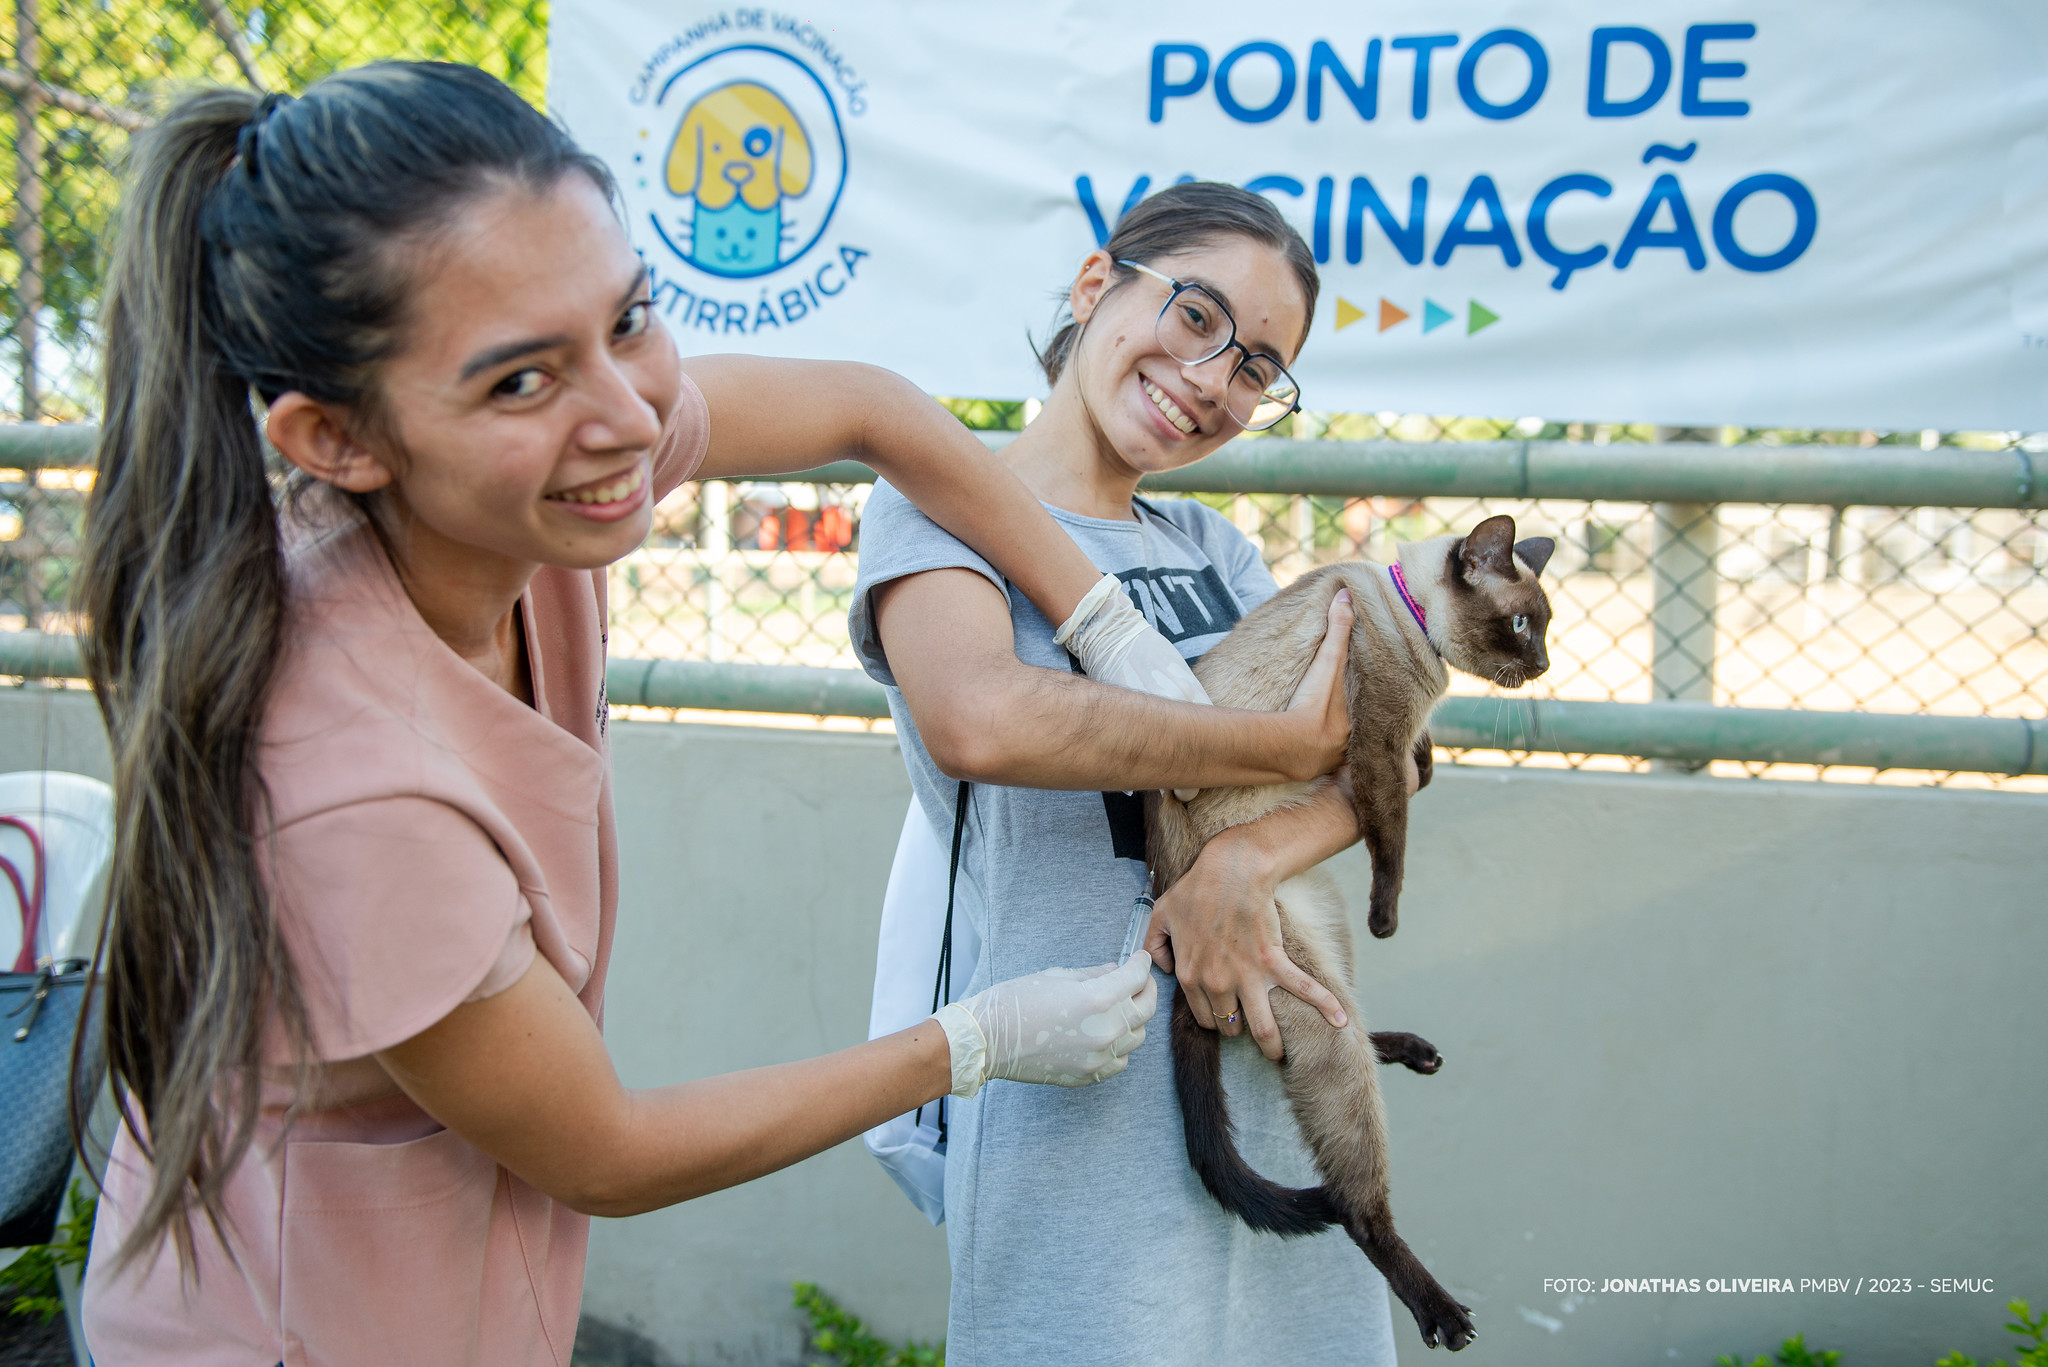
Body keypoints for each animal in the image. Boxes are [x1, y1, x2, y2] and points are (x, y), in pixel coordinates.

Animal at [1155, 516, 1548, 1360]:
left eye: (1545, 627)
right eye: (1522, 626)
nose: (1543, 665)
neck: (1409, 615)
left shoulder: (1396, 747)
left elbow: (1414, 778)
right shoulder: (1374, 749)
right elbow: (1392, 840)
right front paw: (1392, 915)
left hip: (1325, 924)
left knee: (1352, 1015)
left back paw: (1413, 1050)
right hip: (1306, 987)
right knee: (1357, 1201)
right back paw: (1442, 1313)